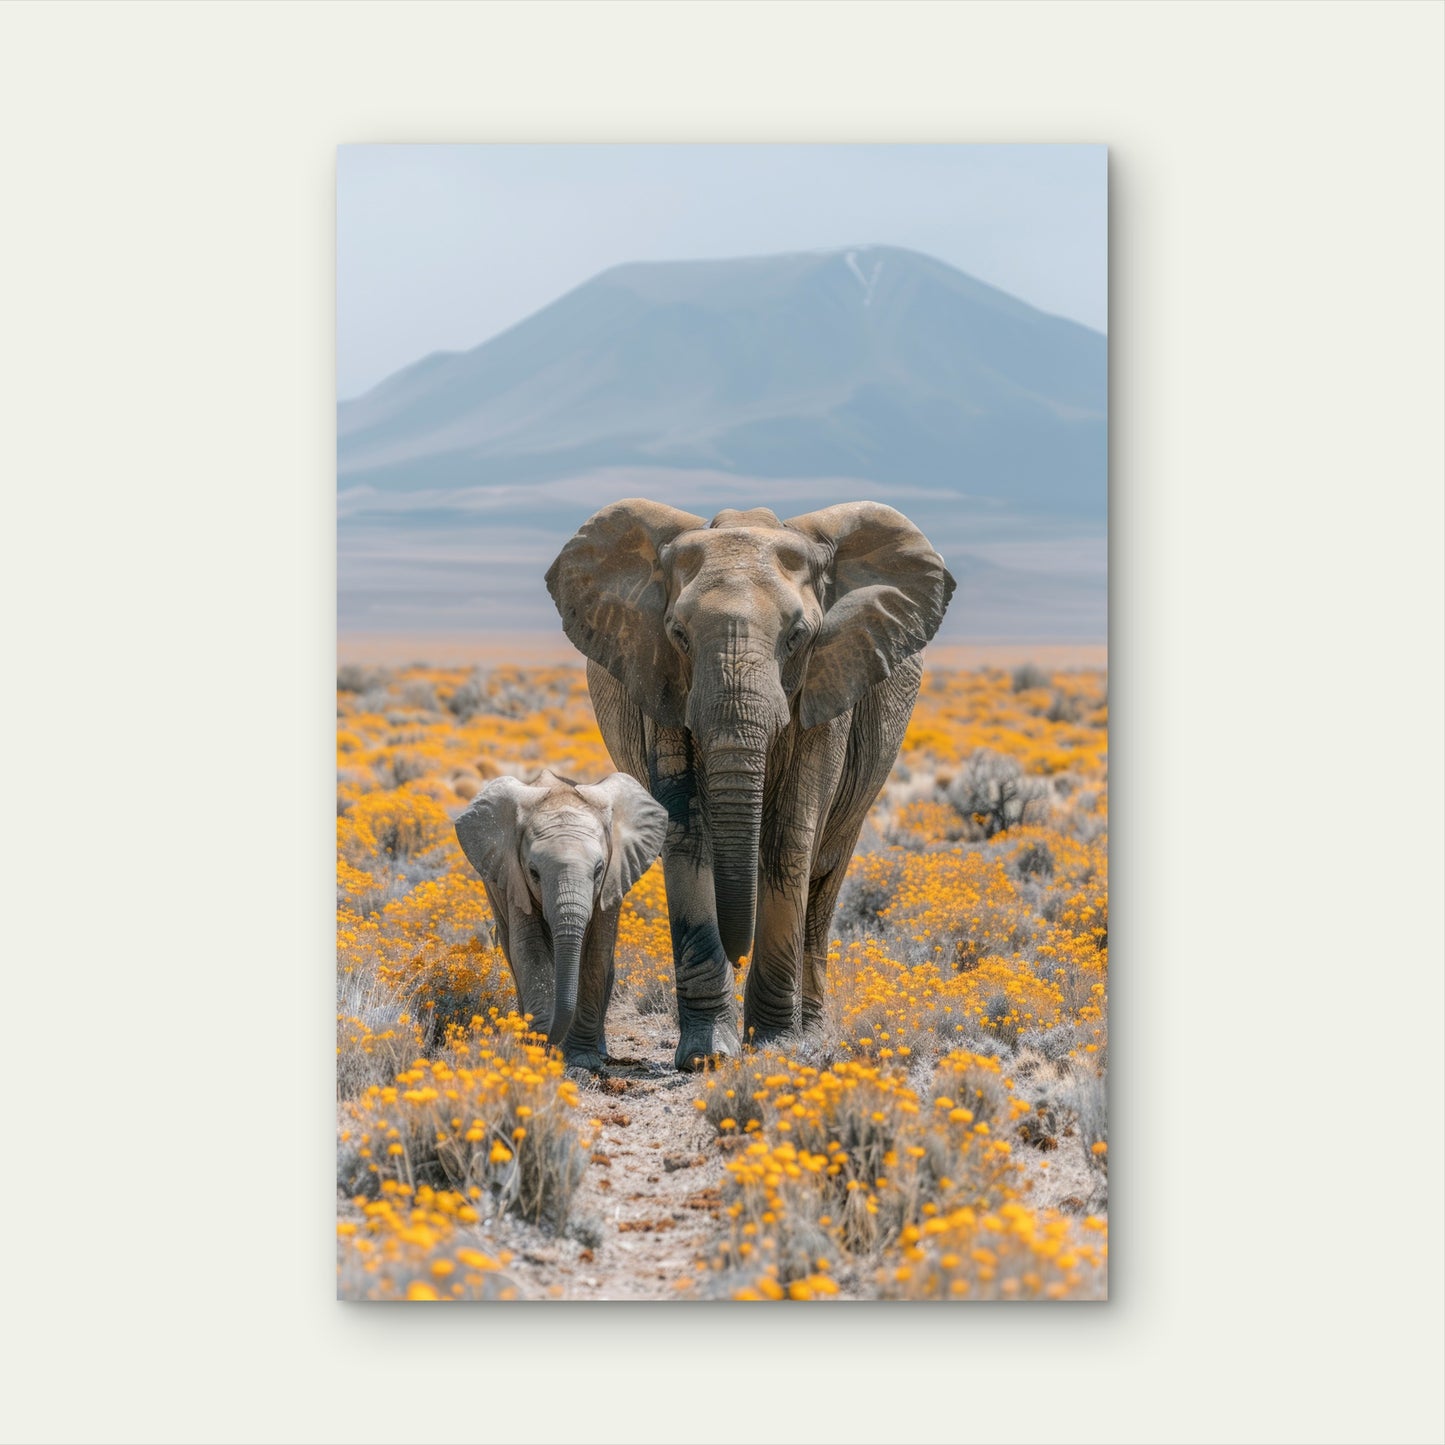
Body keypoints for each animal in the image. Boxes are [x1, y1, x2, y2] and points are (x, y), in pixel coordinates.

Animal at [454, 769, 667, 1069]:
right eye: (534, 872)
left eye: (599, 869)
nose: (550, 1041)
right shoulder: (514, 878)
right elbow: (529, 949)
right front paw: (537, 1047)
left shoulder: (612, 881)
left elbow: (597, 953)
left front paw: (582, 1059)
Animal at [545, 499, 955, 1071]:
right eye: (678, 634)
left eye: (798, 636)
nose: (737, 954)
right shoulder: (661, 683)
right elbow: (686, 834)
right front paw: (706, 1056)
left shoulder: (828, 682)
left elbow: (789, 839)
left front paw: (776, 1047)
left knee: (824, 879)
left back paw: (811, 1028)